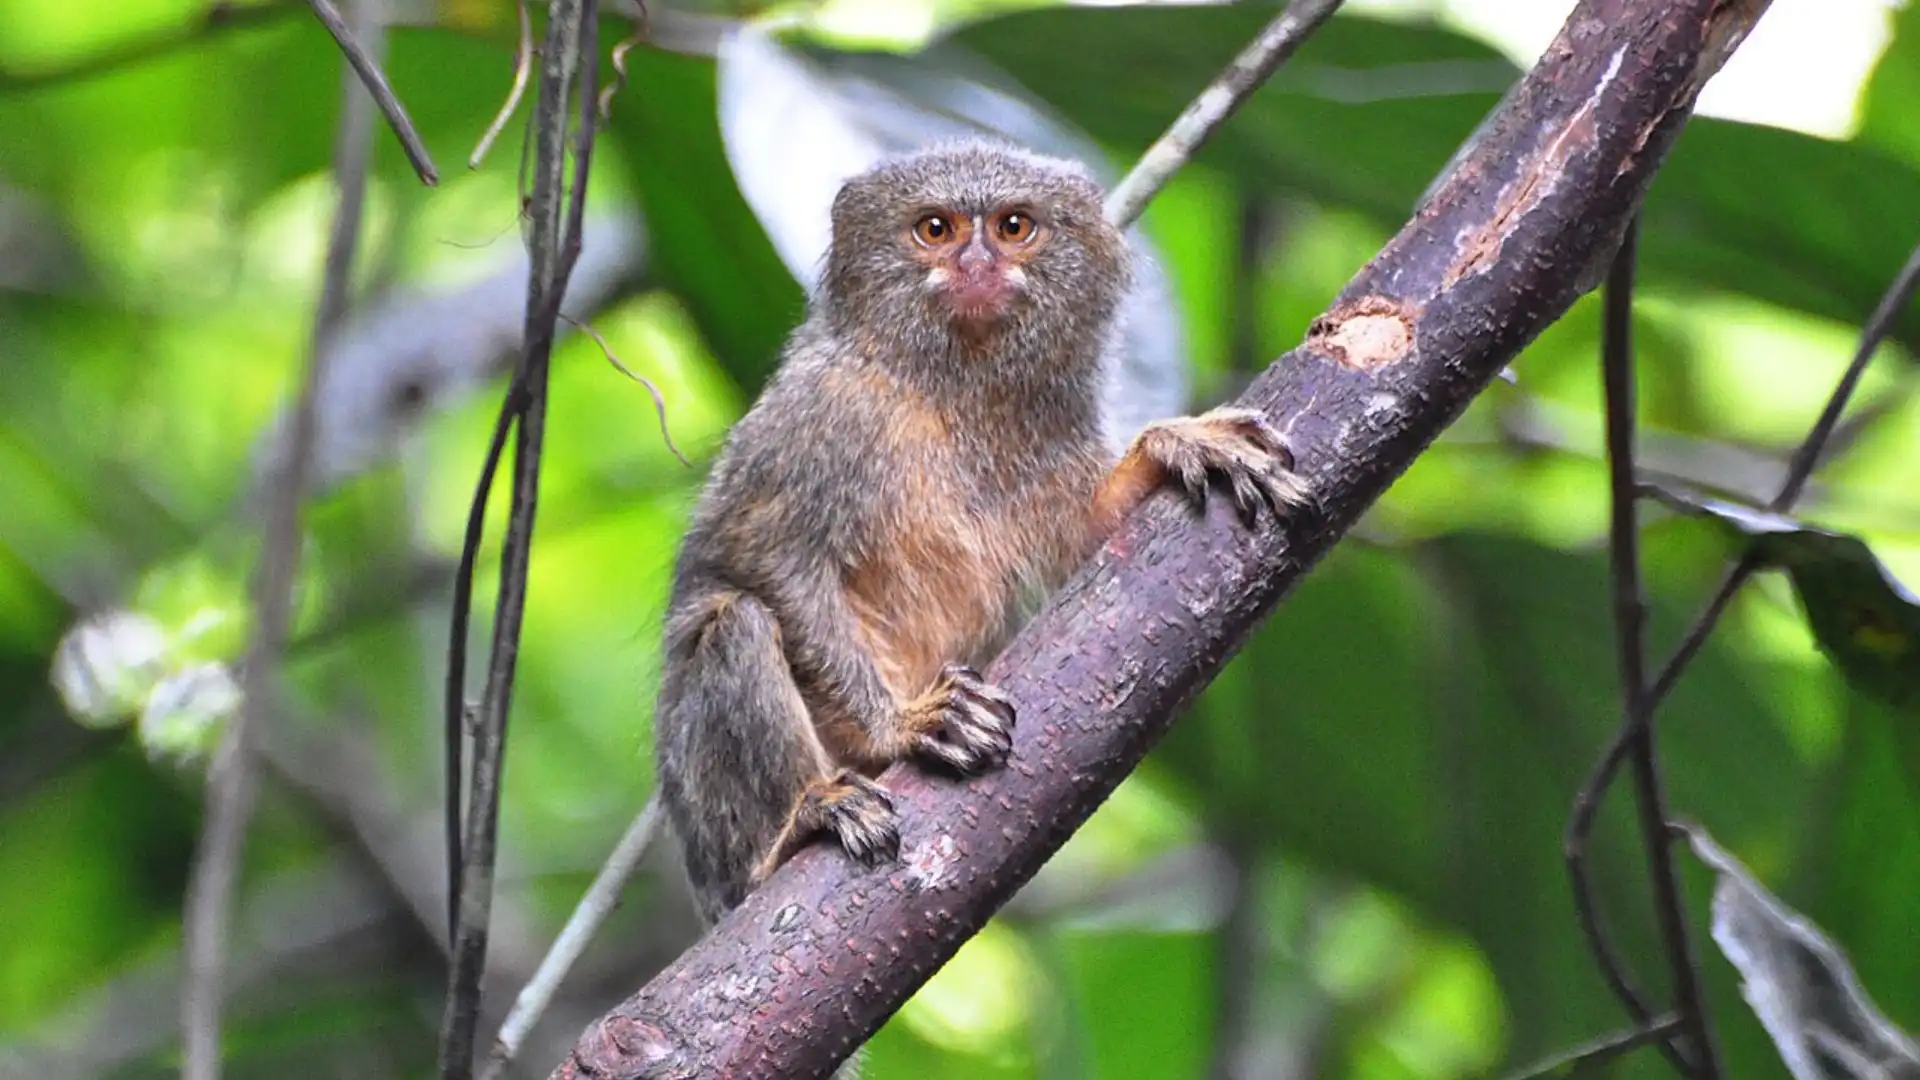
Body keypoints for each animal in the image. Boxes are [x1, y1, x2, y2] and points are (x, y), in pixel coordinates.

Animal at [652, 138, 1309, 926]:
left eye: (1014, 226)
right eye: (934, 229)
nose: (975, 264)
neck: (950, 389)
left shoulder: (1048, 431)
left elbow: (1099, 538)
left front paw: (1176, 443)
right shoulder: (819, 417)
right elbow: (766, 559)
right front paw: (900, 725)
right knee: (736, 628)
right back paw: (796, 824)